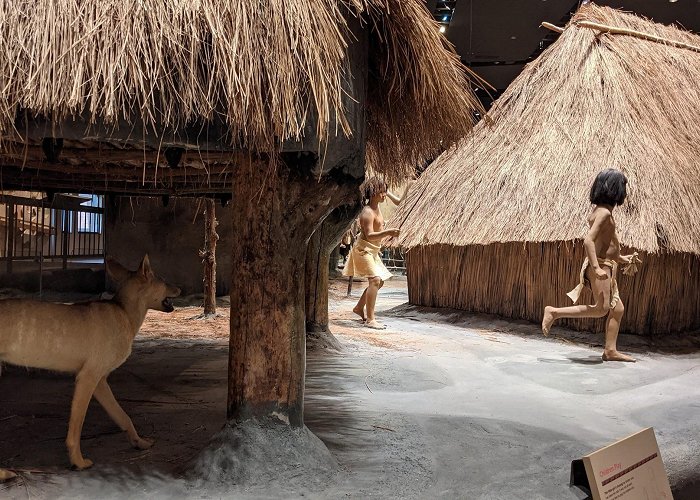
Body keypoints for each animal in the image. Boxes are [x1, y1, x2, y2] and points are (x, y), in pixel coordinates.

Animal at [0, 256, 180, 478]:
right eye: (162, 279)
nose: (180, 288)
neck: (124, 312)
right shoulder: (88, 376)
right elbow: (77, 425)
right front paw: (78, 461)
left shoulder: (101, 380)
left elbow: (123, 416)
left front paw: (140, 442)